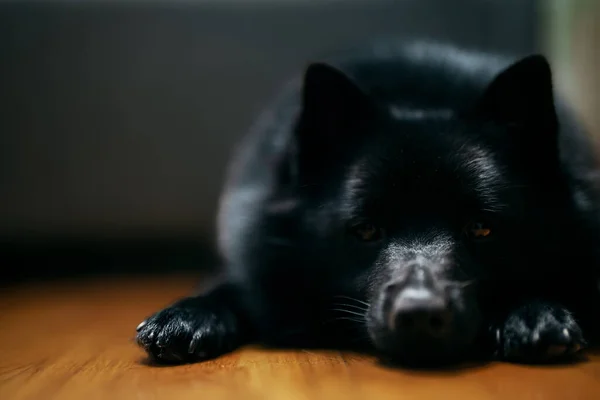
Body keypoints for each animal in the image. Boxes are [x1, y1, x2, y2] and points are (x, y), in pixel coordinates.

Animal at [136, 39, 600, 366]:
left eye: (481, 228)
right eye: (366, 230)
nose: (419, 315)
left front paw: (534, 313)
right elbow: (229, 285)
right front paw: (190, 315)